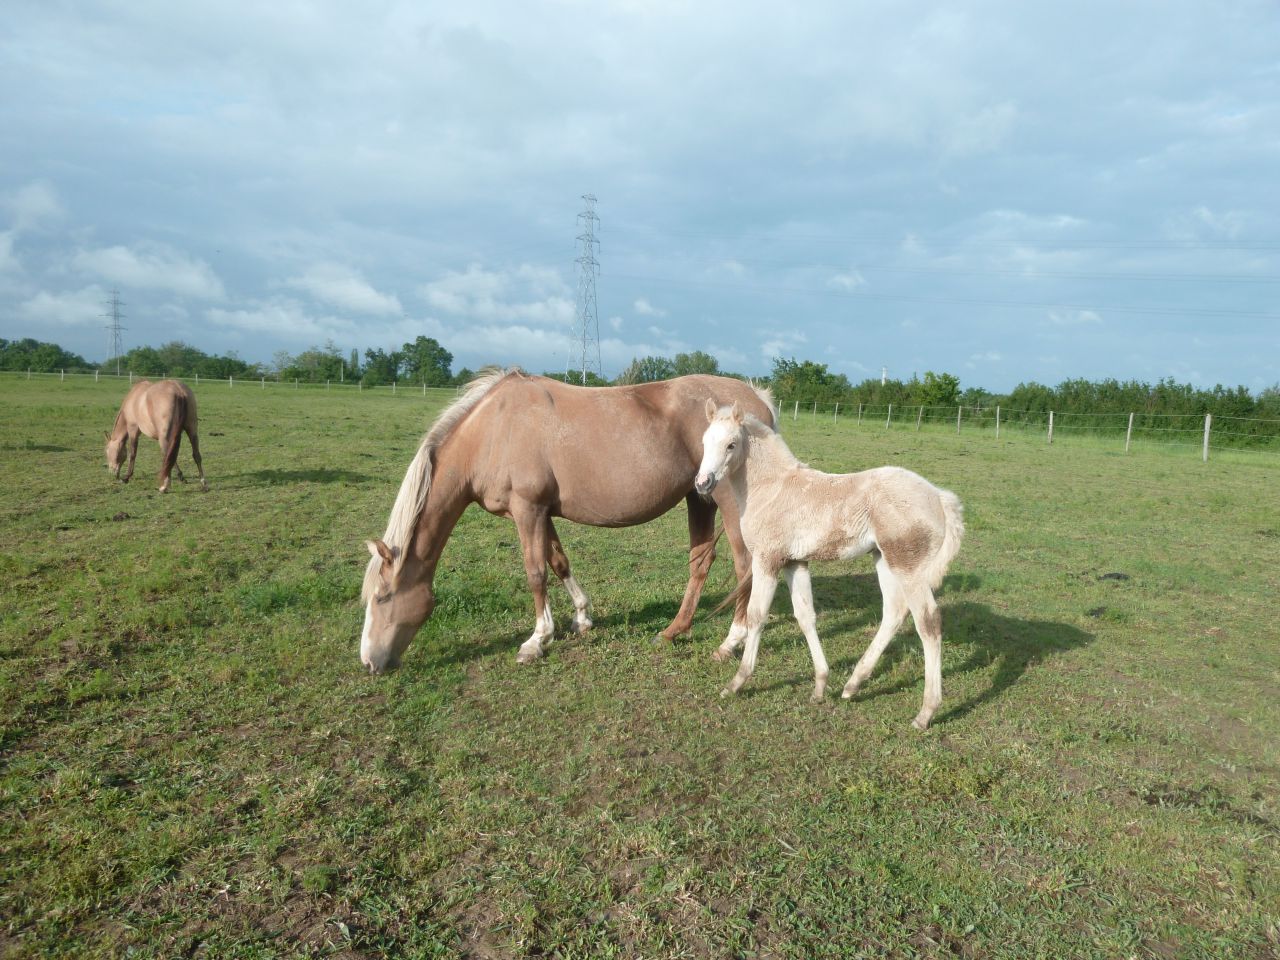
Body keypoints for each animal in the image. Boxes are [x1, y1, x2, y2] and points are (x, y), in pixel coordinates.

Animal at [360, 367, 777, 674]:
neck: (494, 430)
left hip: (727, 502)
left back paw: (733, 641)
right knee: (701, 561)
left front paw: (536, 641)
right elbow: (558, 562)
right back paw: (674, 631)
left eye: (382, 597)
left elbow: (535, 572)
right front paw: (581, 619)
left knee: (744, 566)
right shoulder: (540, 512)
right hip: (699, 497)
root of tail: (758, 399)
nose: (369, 662)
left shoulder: (527, 510)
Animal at [694, 401, 964, 730]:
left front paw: (737, 682)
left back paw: (926, 713)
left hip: (908, 568)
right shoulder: (794, 562)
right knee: (894, 613)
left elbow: (756, 616)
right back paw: (852, 685)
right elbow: (805, 616)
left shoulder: (767, 560)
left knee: (928, 622)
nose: (702, 483)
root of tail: (939, 497)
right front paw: (821, 685)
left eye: (731, 445)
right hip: (884, 560)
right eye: (704, 441)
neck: (772, 488)